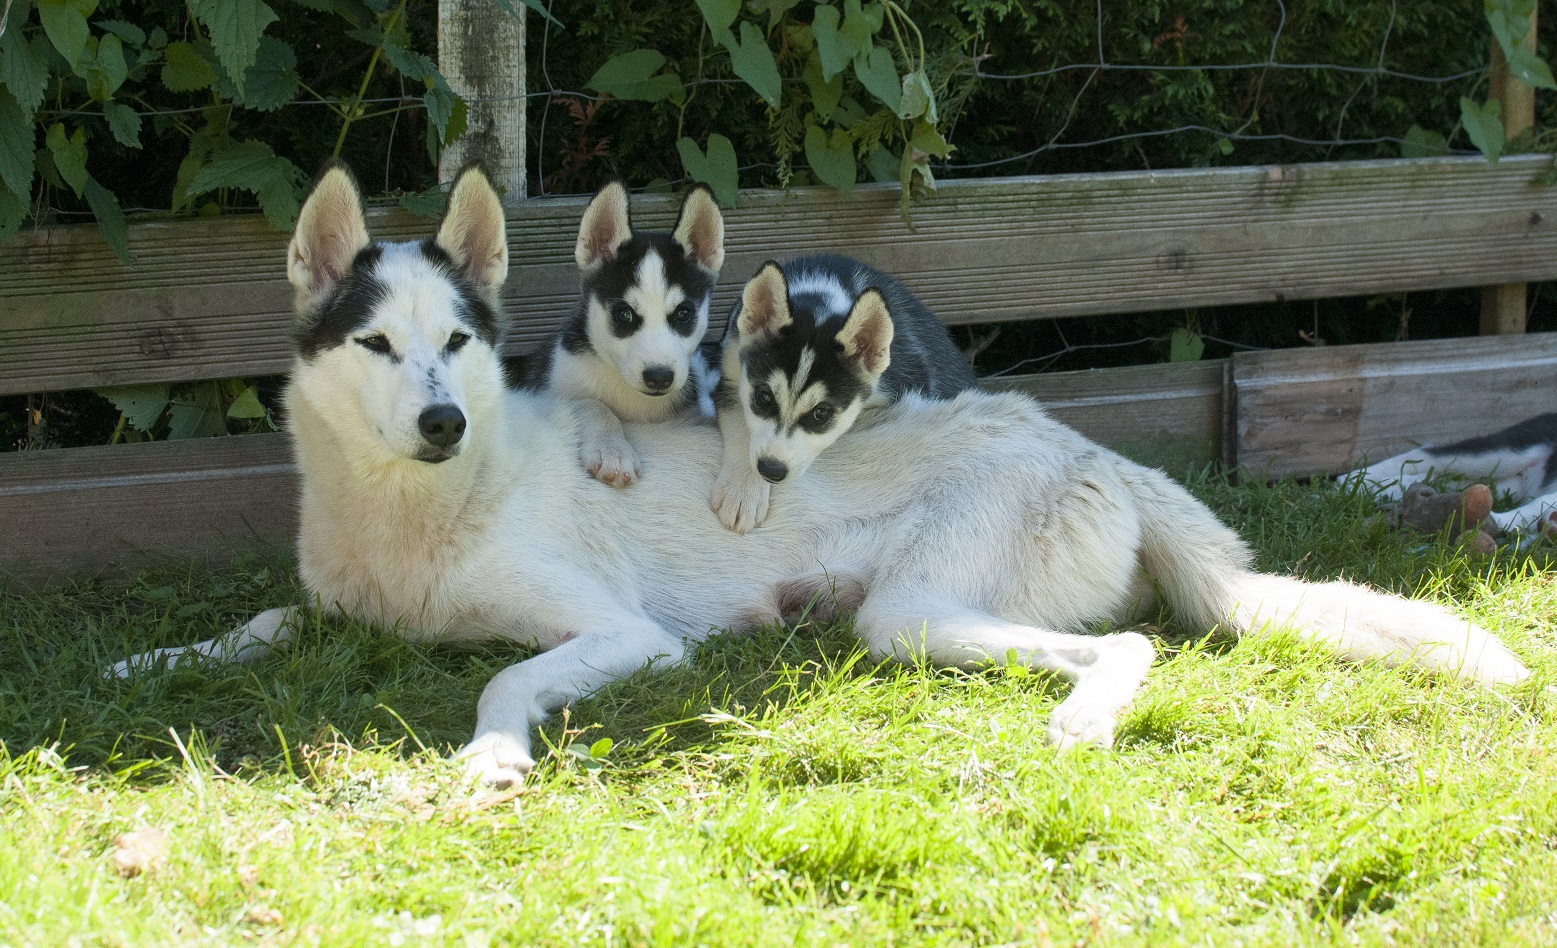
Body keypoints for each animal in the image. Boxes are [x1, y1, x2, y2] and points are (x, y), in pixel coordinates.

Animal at [510, 180, 728, 485]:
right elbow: (592, 404)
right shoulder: (552, 392)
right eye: (624, 314)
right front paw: (611, 451)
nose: (659, 377)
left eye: (683, 314)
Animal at [709, 253, 971, 532]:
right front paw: (741, 491)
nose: (771, 470)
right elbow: (742, 427)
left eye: (821, 414)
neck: (821, 300)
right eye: (764, 397)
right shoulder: (731, 367)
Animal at [1345, 414, 1557, 532]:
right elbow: (1539, 505)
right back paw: (1354, 482)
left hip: (1508, 484)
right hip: (1508, 451)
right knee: (1428, 453)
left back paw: (1384, 491)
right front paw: (1493, 522)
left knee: (1451, 482)